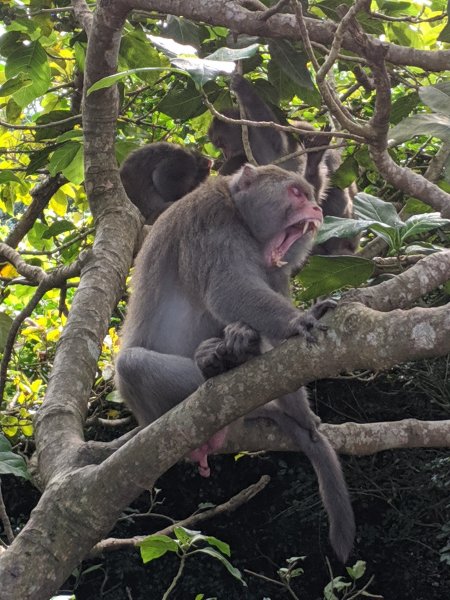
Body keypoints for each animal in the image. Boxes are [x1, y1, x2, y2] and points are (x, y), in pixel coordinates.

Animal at [115, 163, 356, 564]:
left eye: (309, 195)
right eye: (295, 192)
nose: (317, 210)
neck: (241, 216)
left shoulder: (276, 270)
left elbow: (282, 353)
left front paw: (303, 415)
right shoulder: (210, 222)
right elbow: (227, 288)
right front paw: (299, 320)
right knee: (131, 365)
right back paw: (219, 374)